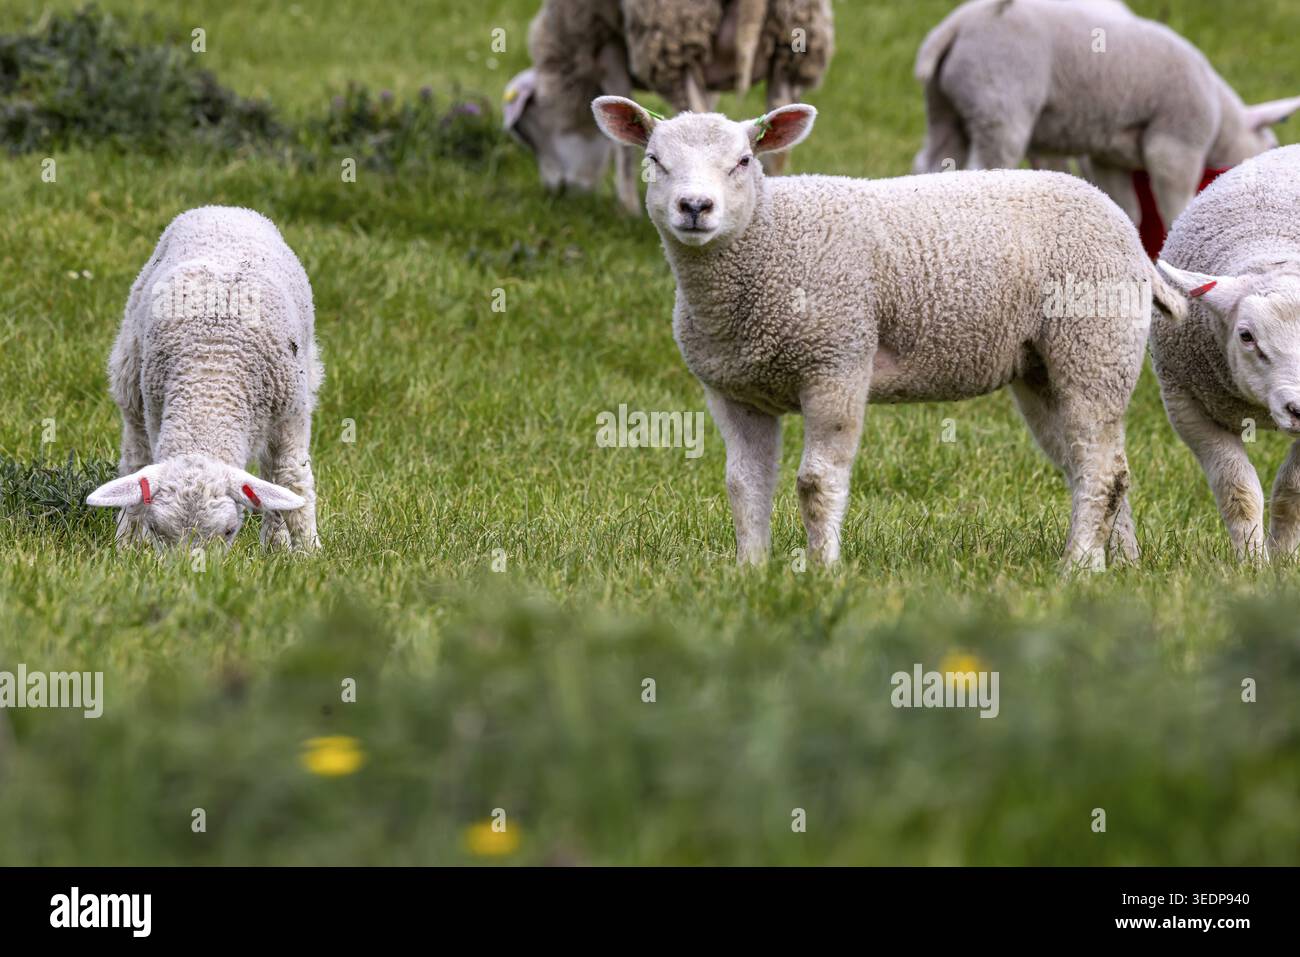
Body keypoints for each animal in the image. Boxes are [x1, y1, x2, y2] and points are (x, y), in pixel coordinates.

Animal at [86, 206, 323, 551]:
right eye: (157, 530)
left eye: (229, 531)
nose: (188, 566)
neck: (211, 380)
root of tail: (225, 208)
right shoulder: (156, 408)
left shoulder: (291, 413)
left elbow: (291, 478)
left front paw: (307, 551)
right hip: (131, 374)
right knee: (136, 458)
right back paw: (127, 538)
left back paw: (276, 544)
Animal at [504, 0, 833, 213]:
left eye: (526, 131)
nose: (557, 192)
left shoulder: (606, 41)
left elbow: (622, 138)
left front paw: (627, 210)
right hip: (792, 43)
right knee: (778, 145)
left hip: (672, 31)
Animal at [591, 95, 1188, 569]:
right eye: (654, 161)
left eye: (743, 161)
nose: (695, 207)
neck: (766, 242)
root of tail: (1128, 231)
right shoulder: (733, 392)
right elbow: (744, 485)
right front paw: (750, 572)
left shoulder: (836, 362)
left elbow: (816, 483)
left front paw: (822, 571)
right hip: (1044, 368)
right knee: (1097, 467)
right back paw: (1120, 564)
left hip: (1095, 344)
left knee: (1100, 469)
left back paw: (1078, 568)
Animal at [913, 0, 1300, 238]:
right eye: (1271, 145)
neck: (1221, 119)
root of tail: (958, 24)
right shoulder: (1175, 146)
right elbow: (1175, 203)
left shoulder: (1107, 159)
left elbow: (1129, 209)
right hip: (999, 104)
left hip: (944, 110)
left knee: (932, 163)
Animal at [1153, 146, 1300, 561]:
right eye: (1246, 336)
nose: (1299, 410)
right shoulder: (1185, 403)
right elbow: (1238, 492)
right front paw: (1252, 562)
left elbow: (1291, 492)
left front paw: (1284, 557)